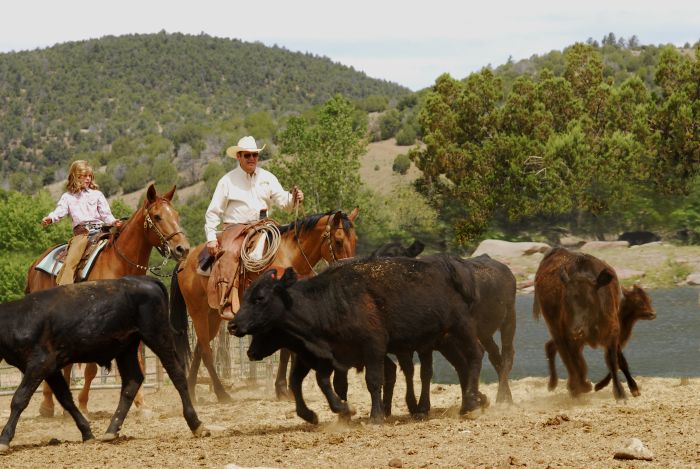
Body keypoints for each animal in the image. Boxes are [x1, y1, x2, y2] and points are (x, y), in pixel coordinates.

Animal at [0, 276, 208, 452]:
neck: (16, 320)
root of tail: (145, 279)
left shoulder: (40, 364)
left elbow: (19, 399)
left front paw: (4, 439)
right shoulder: (51, 369)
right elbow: (66, 398)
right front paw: (87, 433)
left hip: (158, 335)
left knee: (177, 373)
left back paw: (196, 424)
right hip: (127, 347)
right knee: (132, 381)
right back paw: (111, 430)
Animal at [25, 184, 190, 416]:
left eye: (176, 214)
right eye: (157, 216)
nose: (182, 248)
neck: (119, 264)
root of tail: (35, 264)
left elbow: (137, 361)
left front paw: (142, 405)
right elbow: (92, 369)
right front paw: (83, 404)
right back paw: (47, 405)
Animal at [168, 208, 356, 402]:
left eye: (355, 239)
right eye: (338, 241)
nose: (349, 268)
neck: (288, 257)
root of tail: (185, 261)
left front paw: (286, 388)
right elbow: (285, 350)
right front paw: (282, 388)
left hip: (212, 316)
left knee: (199, 349)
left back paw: (191, 391)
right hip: (197, 311)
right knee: (206, 352)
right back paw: (222, 394)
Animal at [227, 256, 484, 424]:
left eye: (259, 298)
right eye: (245, 295)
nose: (232, 325)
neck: (330, 301)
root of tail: (456, 266)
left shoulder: (373, 347)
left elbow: (373, 380)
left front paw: (374, 416)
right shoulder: (326, 356)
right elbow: (311, 382)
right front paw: (327, 413)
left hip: (461, 327)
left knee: (475, 356)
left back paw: (470, 403)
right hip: (444, 338)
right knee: (460, 365)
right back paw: (467, 403)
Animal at [536, 249, 628, 398]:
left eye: (589, 302)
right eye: (566, 301)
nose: (576, 330)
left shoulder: (613, 332)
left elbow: (612, 361)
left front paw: (620, 393)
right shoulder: (567, 336)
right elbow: (574, 362)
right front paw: (582, 386)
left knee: (554, 348)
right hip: (556, 330)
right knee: (566, 357)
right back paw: (572, 386)